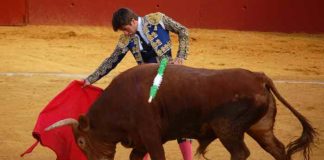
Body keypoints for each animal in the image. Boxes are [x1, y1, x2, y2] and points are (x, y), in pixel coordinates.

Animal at [45, 64, 316, 160]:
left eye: (81, 141)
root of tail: (259, 77)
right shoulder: (140, 140)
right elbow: (134, 157)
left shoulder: (151, 136)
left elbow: (157, 157)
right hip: (261, 128)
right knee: (277, 149)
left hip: (227, 129)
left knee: (241, 153)